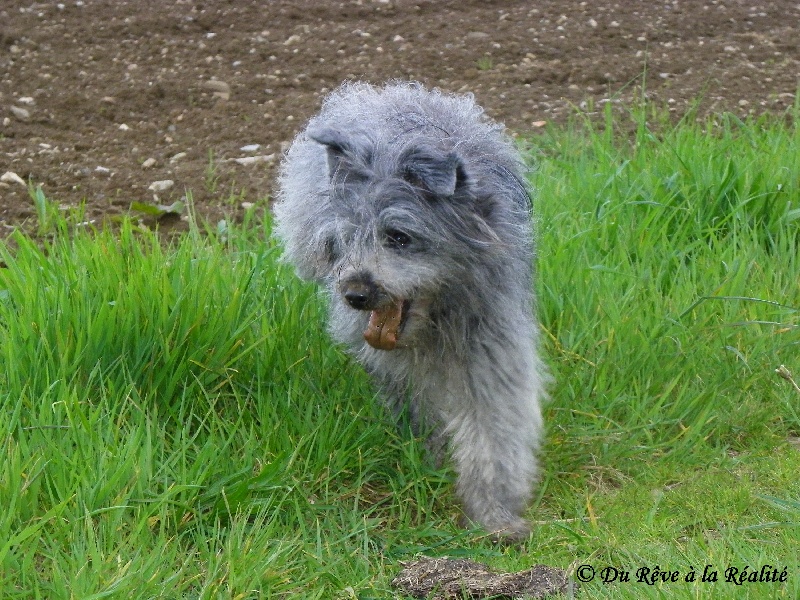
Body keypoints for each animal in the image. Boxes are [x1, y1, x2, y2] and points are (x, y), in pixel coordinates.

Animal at [272, 81, 548, 540]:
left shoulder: (492, 346)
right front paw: (431, 457)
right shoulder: (393, 357)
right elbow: (419, 403)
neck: (437, 313)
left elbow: (492, 429)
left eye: (398, 237)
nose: (355, 294)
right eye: (343, 240)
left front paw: (494, 515)